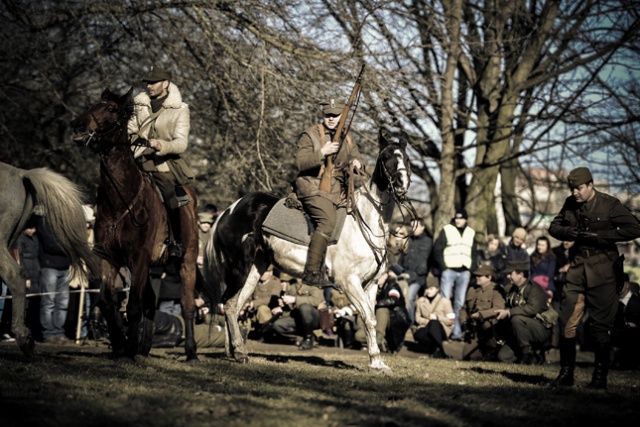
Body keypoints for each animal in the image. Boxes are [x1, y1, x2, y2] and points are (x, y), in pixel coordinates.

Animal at [69, 88, 200, 362]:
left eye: (110, 109)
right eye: (91, 105)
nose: (77, 125)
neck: (120, 201)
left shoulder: (138, 258)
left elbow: (133, 305)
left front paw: (128, 349)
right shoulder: (109, 258)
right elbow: (108, 302)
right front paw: (121, 345)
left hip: (187, 261)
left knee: (186, 305)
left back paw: (190, 351)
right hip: (149, 268)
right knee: (150, 301)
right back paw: (144, 347)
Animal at [205, 134, 416, 372]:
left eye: (406, 158)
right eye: (386, 157)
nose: (401, 183)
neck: (364, 222)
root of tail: (229, 211)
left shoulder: (370, 285)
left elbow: (369, 318)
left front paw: (377, 362)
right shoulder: (348, 282)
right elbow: (368, 318)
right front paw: (376, 362)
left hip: (254, 270)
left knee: (235, 305)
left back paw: (233, 351)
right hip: (239, 267)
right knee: (230, 304)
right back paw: (239, 352)